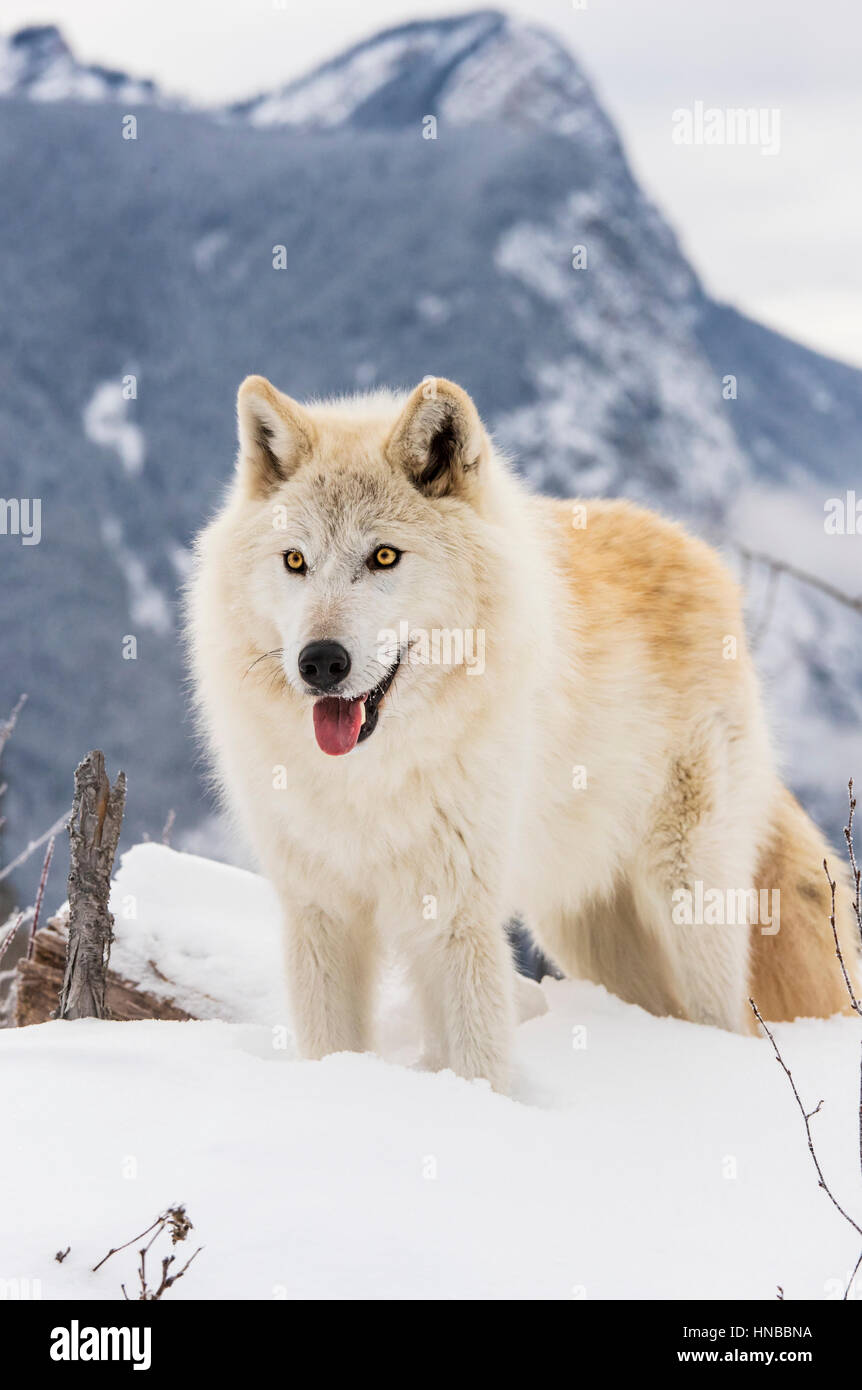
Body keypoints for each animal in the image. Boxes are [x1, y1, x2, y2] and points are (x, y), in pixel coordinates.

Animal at [186, 375, 856, 1089]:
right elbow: (329, 1045)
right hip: (583, 926)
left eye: (384, 556)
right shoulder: (320, 912)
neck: (371, 777)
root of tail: (701, 554)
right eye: (295, 561)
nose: (319, 663)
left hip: (687, 895)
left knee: (727, 1020)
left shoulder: (458, 914)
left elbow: (481, 1057)